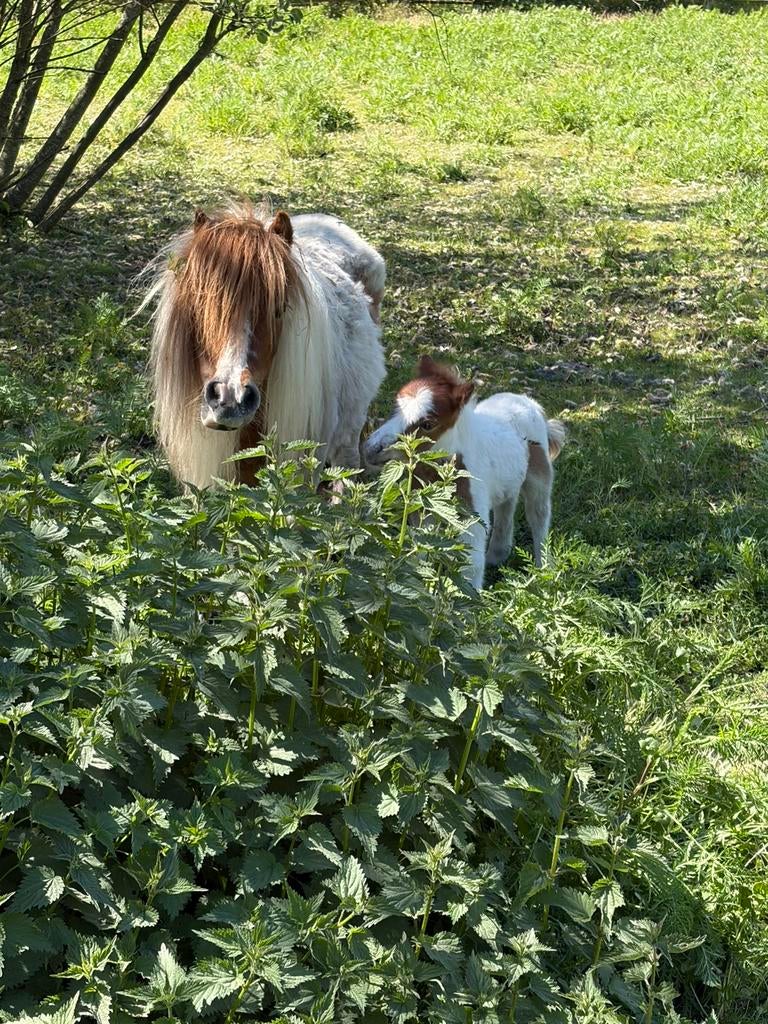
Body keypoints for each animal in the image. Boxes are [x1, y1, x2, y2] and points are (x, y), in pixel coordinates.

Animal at [364, 356, 565, 588]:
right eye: (395, 406)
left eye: (428, 424)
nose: (371, 448)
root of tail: (531, 404)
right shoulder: (424, 507)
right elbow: (421, 548)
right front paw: (417, 584)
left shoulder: (473, 512)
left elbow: (472, 564)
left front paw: (470, 595)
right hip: (508, 480)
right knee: (506, 506)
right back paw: (497, 556)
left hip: (538, 478)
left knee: (538, 515)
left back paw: (544, 570)